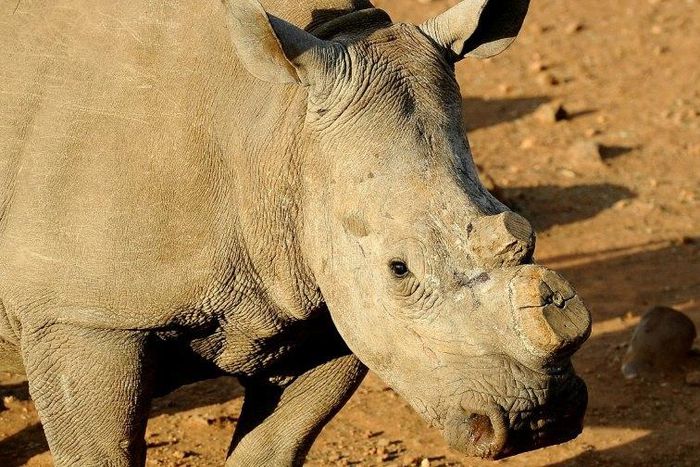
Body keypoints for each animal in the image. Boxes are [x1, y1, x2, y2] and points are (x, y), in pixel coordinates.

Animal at [0, 0, 592, 465]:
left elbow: (274, 446)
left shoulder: (327, 305)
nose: (538, 417)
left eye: (525, 233)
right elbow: (101, 451)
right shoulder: (82, 316)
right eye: (399, 269)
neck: (277, 126)